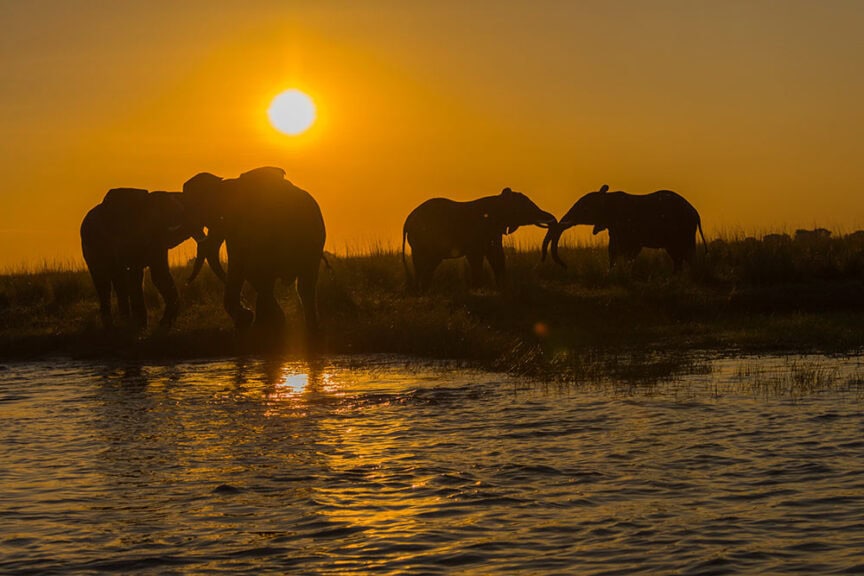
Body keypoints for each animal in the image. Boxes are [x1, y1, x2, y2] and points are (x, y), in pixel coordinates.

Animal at [80, 188, 224, 331]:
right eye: (183, 212)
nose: (186, 282)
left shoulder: (158, 239)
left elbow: (160, 276)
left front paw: (164, 324)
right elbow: (138, 274)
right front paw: (144, 326)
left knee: (120, 281)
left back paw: (125, 322)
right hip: (90, 249)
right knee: (104, 282)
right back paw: (113, 326)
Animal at [181, 166, 326, 336]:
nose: (186, 282)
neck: (227, 183)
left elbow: (239, 266)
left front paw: (246, 320)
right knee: (303, 284)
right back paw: (309, 328)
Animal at [402, 187, 557, 289]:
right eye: (526, 206)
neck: (499, 200)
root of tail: (407, 221)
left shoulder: (493, 231)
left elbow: (496, 255)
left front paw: (502, 288)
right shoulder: (480, 230)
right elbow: (477, 257)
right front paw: (479, 289)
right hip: (423, 238)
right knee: (425, 263)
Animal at [542, 184, 706, 272]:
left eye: (584, 210)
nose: (565, 266)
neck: (606, 197)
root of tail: (696, 213)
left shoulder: (627, 226)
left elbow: (630, 251)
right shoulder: (613, 227)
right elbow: (613, 250)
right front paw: (611, 273)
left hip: (683, 228)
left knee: (685, 254)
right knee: (678, 256)